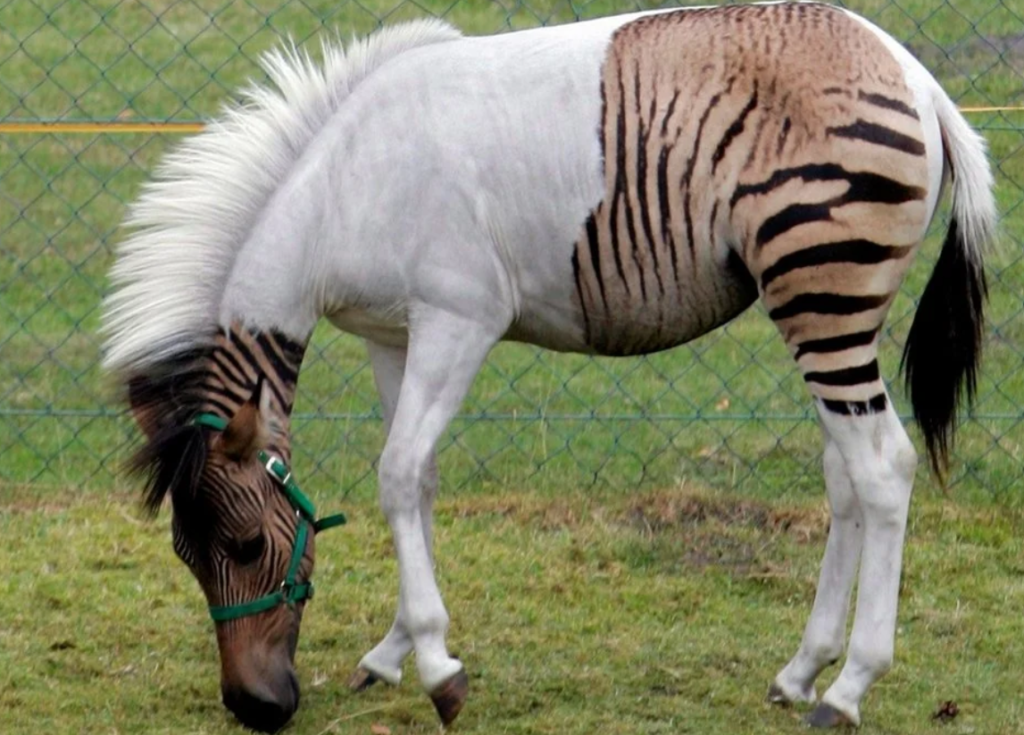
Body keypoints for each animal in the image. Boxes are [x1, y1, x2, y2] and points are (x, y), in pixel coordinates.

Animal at [102, 3, 996, 731]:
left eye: (250, 543)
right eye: (186, 556)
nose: (254, 709)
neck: (344, 190)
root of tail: (913, 73)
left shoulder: (458, 320)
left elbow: (399, 471)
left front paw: (438, 669)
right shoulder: (393, 334)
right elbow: (416, 481)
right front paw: (393, 649)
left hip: (822, 294)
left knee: (883, 468)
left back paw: (849, 688)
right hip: (822, 308)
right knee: (845, 474)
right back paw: (801, 670)